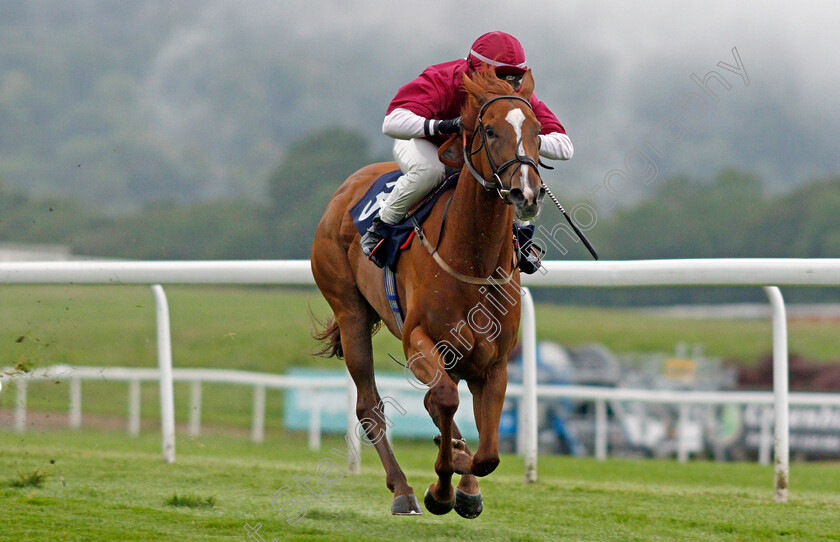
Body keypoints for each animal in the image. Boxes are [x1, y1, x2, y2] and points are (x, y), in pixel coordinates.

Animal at [310, 70, 544, 520]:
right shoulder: (419, 341)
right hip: (350, 312)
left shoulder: (495, 361)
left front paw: (462, 480)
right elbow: (446, 403)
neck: (473, 261)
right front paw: (441, 487)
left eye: (538, 131)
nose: (526, 192)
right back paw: (403, 490)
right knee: (370, 406)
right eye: (490, 130)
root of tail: (345, 190)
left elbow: (487, 453)